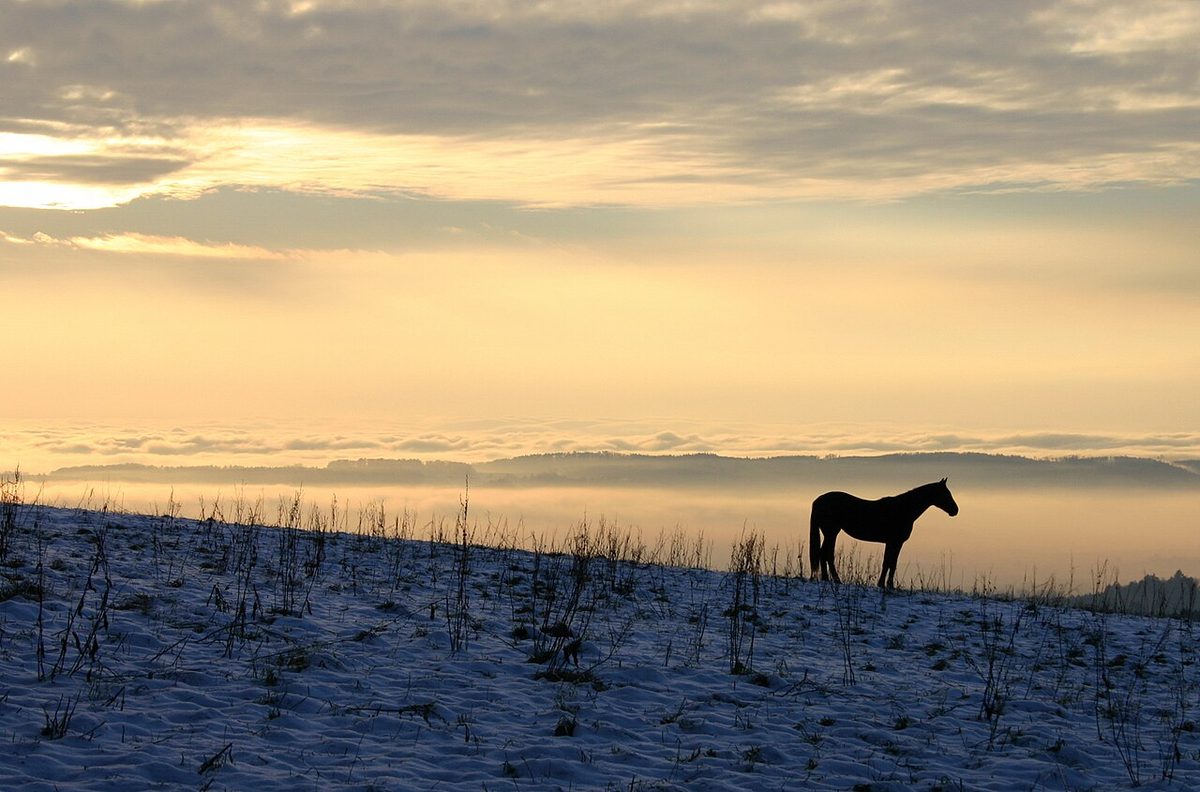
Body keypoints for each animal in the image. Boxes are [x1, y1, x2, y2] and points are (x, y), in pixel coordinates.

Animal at [809, 478, 958, 589]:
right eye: (945, 494)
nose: (955, 510)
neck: (903, 509)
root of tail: (818, 500)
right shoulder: (893, 541)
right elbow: (887, 562)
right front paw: (883, 584)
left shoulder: (896, 543)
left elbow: (892, 563)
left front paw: (889, 585)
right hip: (831, 532)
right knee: (826, 554)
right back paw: (834, 580)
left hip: (831, 533)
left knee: (824, 553)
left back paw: (828, 579)